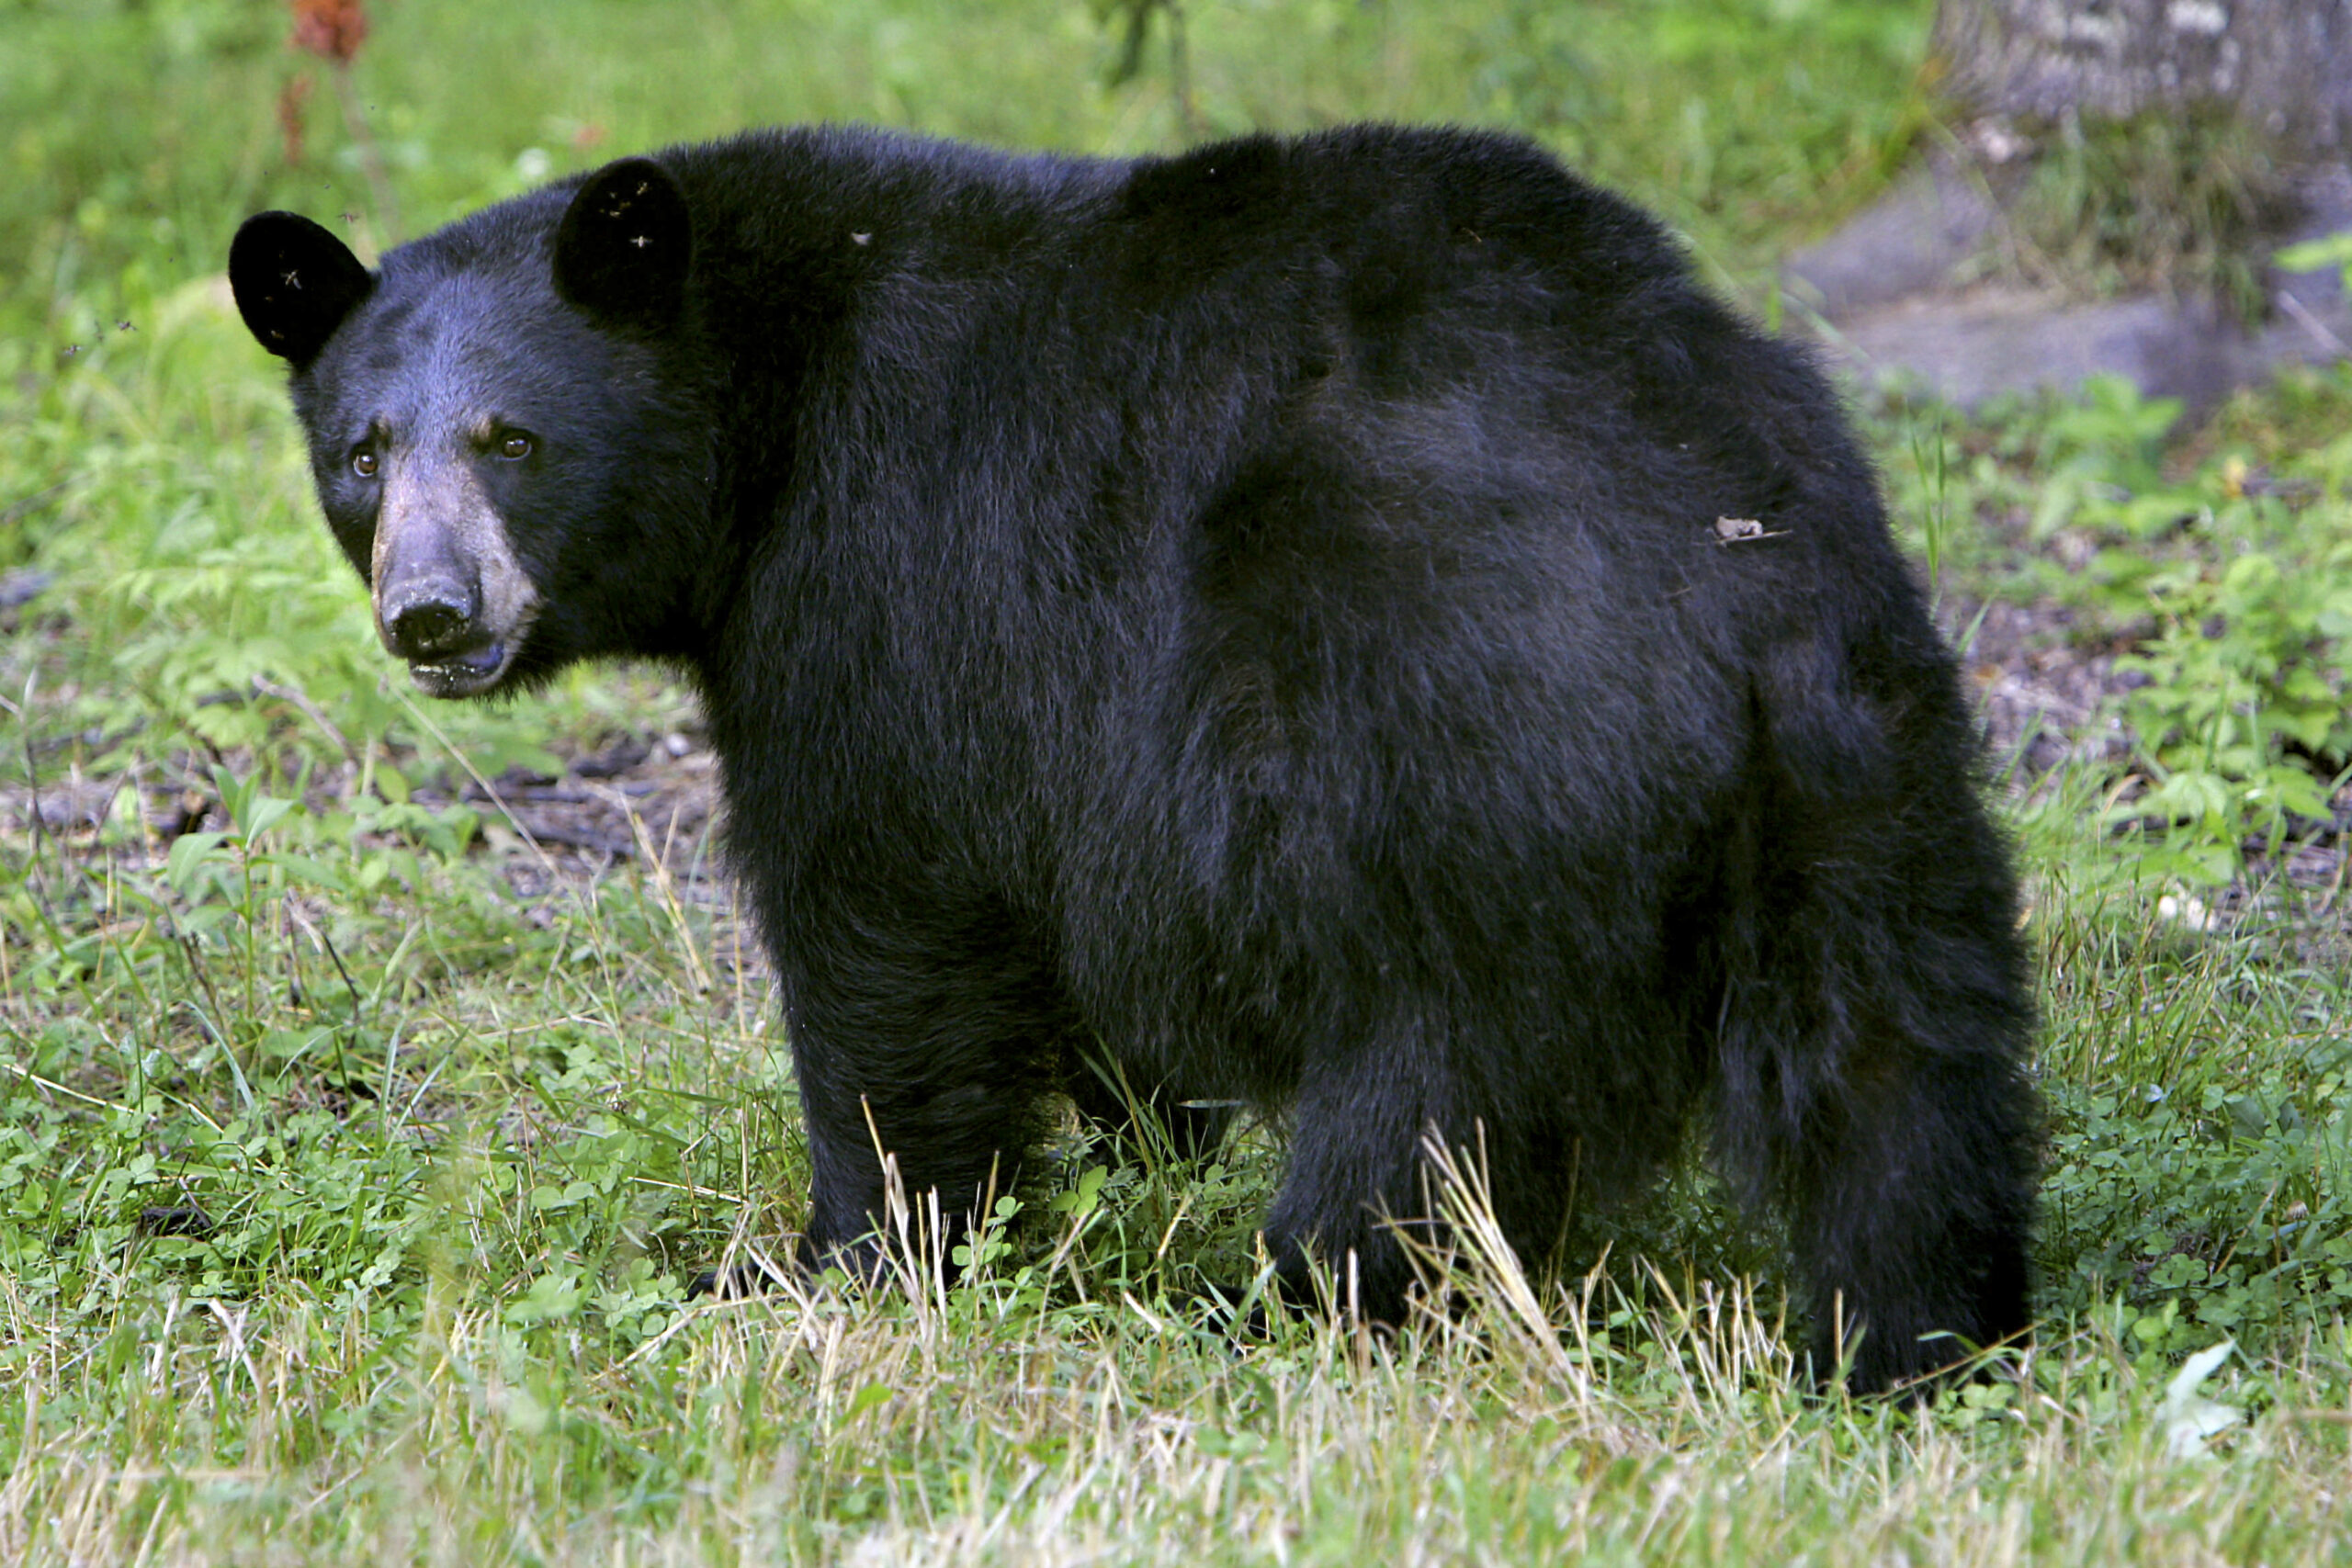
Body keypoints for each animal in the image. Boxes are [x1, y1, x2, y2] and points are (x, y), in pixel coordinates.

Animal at [238, 125, 2041, 1401]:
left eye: (513, 439)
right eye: (363, 451)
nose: (431, 610)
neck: (763, 412)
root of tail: (1716, 564)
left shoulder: (886, 592)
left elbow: (882, 931)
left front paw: (839, 1259)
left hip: (1462, 762)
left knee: (1430, 1096)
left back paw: (1298, 1304)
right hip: (1865, 764)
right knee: (1900, 1065)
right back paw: (1913, 1339)